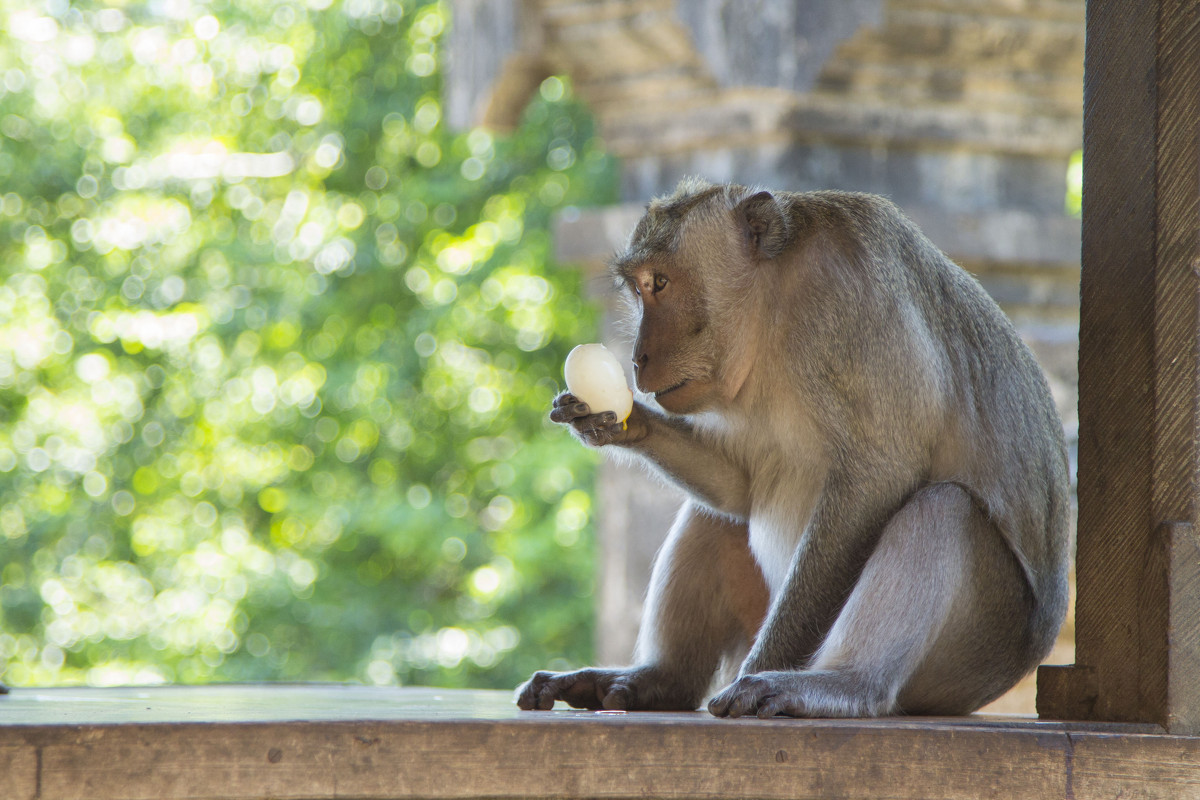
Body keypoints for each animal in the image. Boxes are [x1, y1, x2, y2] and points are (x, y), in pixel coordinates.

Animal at [516, 179, 1070, 719]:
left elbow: (878, 479)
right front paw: (614, 424)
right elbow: (738, 489)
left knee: (945, 509)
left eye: (660, 283)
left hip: (976, 651)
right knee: (717, 512)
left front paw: (763, 669)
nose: (636, 359)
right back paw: (660, 679)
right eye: (638, 288)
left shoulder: (851, 300)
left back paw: (843, 685)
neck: (774, 310)